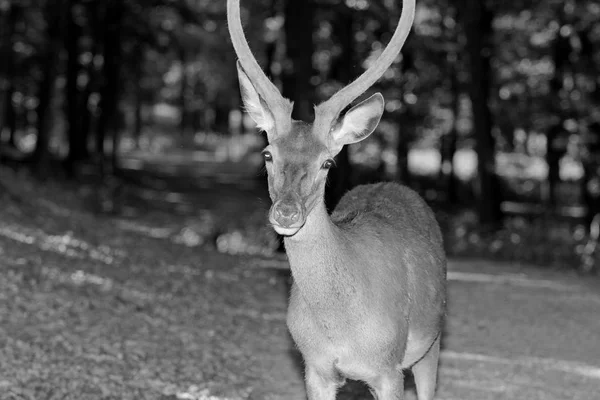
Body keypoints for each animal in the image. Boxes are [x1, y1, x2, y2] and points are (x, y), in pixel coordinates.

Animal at [227, 1, 448, 398]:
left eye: (327, 162)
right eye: (268, 154)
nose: (286, 213)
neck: (341, 327)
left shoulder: (389, 368)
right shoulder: (315, 366)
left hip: (431, 343)